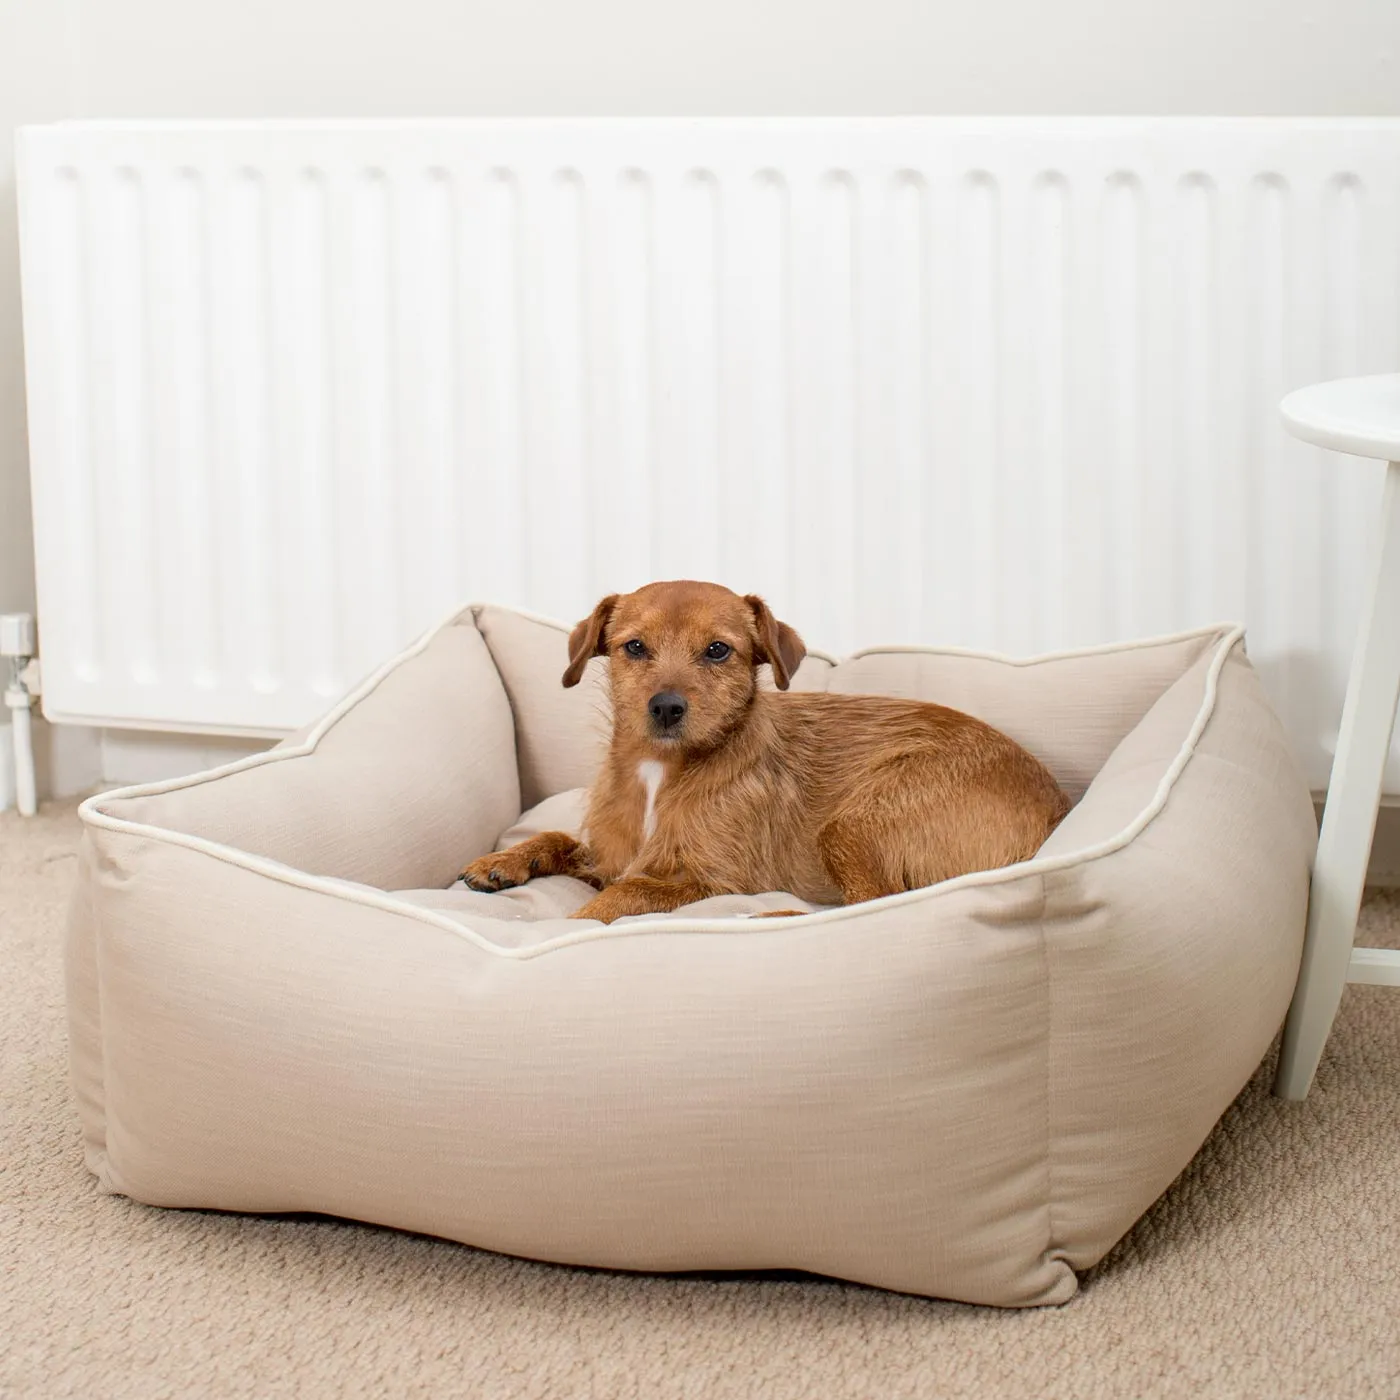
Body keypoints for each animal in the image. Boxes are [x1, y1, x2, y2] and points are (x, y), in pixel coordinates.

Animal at [459, 585, 1069, 924]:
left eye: (717, 650)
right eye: (634, 646)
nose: (666, 707)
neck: (663, 772)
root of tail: (1057, 806)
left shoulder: (713, 881)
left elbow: (628, 893)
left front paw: (574, 924)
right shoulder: (612, 857)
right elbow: (561, 839)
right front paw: (503, 861)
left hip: (852, 824)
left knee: (875, 903)